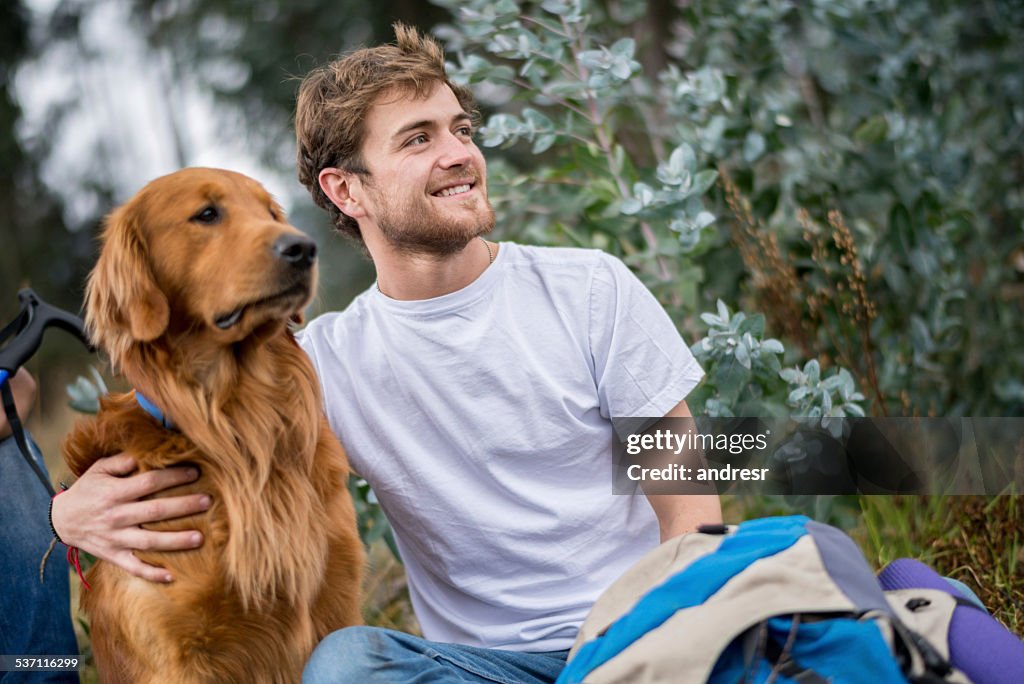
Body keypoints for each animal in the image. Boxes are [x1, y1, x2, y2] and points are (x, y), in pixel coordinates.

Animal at [62, 166, 364, 684]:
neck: (241, 423)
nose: (303, 248)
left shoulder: (337, 601)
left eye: (269, 212)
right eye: (206, 214)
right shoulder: (176, 652)